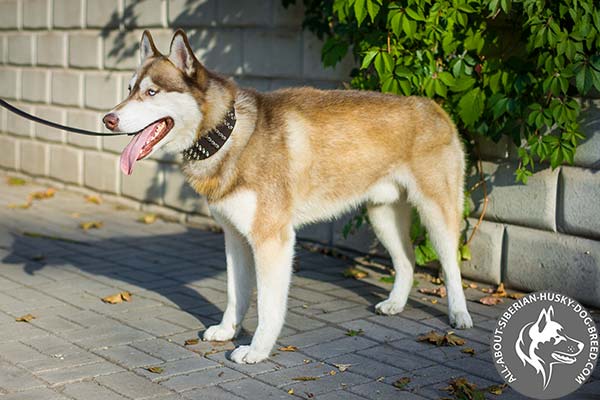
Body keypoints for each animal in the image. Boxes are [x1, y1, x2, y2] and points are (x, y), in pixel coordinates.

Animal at [103, 29, 474, 364]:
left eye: (151, 92)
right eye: (129, 89)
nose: (108, 119)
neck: (229, 133)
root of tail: (433, 105)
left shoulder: (272, 240)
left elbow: (268, 305)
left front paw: (257, 349)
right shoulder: (235, 238)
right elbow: (235, 294)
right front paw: (227, 331)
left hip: (437, 213)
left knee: (450, 265)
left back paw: (459, 314)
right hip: (382, 215)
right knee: (407, 261)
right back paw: (396, 303)